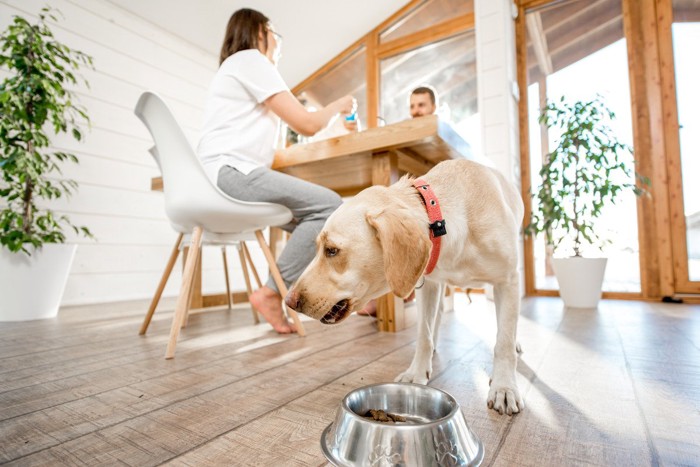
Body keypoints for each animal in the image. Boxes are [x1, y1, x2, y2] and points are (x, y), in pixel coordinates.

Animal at [286, 159, 524, 414]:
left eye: (332, 250)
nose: (288, 301)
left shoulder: (508, 280)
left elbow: (504, 342)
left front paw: (504, 386)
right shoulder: (429, 284)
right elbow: (423, 335)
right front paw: (416, 372)